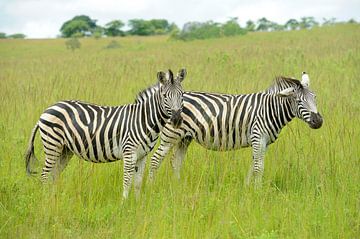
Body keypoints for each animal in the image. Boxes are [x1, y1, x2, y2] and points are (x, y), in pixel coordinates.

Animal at [24, 68, 187, 198]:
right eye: (165, 96)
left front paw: (137, 205)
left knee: (54, 174)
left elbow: (138, 182)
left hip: (65, 150)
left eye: (182, 95)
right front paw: (124, 204)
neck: (143, 119)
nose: (177, 119)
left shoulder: (142, 155)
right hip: (53, 144)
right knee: (44, 175)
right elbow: (127, 180)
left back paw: (55, 198)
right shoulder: (129, 152)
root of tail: (48, 109)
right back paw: (46, 201)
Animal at [148, 72, 324, 188]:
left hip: (184, 138)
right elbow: (259, 167)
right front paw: (258, 192)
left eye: (315, 97)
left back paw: (178, 187)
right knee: (156, 159)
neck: (270, 109)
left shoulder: (264, 141)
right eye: (299, 101)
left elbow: (254, 165)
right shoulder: (258, 137)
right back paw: (151, 186)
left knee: (176, 162)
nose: (319, 121)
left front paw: (247, 188)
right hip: (170, 135)